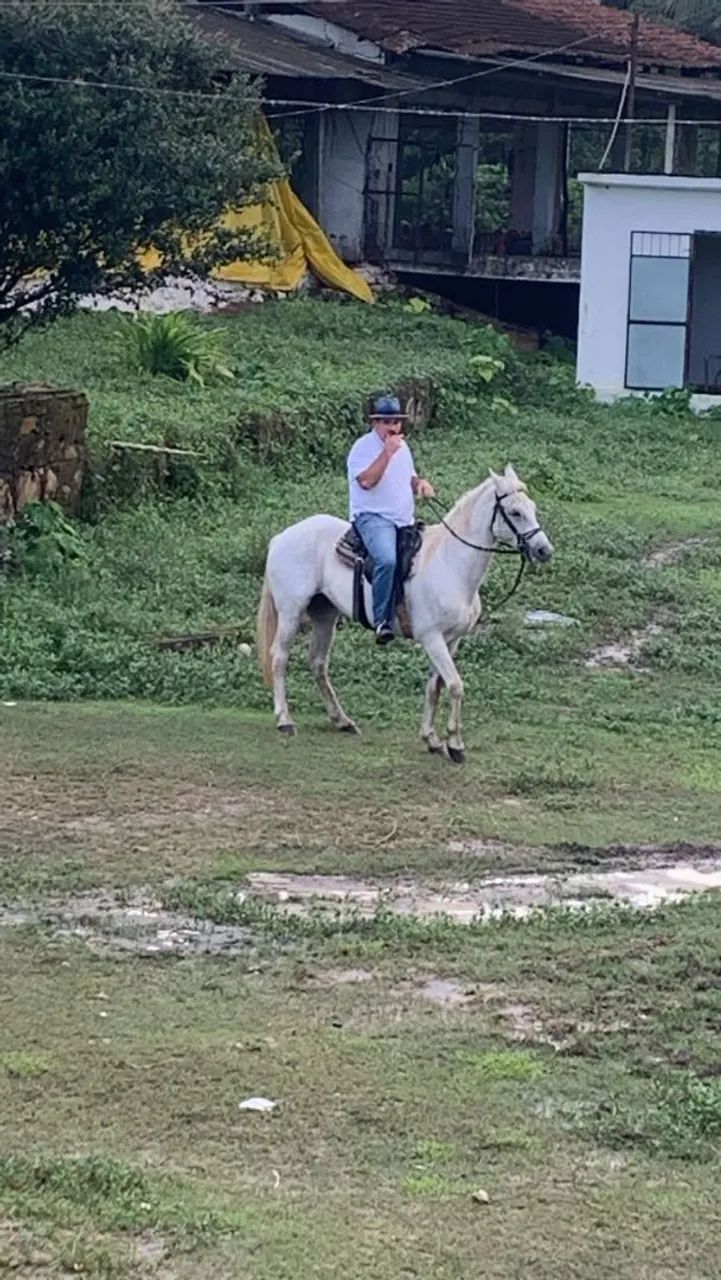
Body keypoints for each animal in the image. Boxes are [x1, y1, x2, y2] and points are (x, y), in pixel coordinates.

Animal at [256, 464, 553, 762]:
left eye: (534, 508)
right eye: (515, 512)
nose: (544, 550)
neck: (450, 563)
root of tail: (281, 537)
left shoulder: (451, 640)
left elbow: (435, 687)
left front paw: (432, 739)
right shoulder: (432, 638)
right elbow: (455, 685)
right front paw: (455, 745)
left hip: (325, 616)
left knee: (318, 663)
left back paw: (342, 721)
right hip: (291, 612)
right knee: (279, 658)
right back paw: (285, 721)